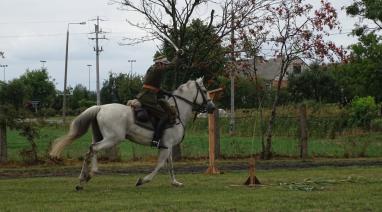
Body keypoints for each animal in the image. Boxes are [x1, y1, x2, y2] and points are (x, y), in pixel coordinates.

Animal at [49, 78, 215, 190]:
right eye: (205, 91)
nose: (212, 107)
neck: (176, 112)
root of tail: (100, 107)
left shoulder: (167, 146)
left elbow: (170, 165)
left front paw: (175, 182)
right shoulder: (167, 146)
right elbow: (160, 164)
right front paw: (142, 180)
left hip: (102, 136)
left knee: (91, 150)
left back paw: (86, 176)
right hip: (112, 139)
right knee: (93, 149)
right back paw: (85, 177)